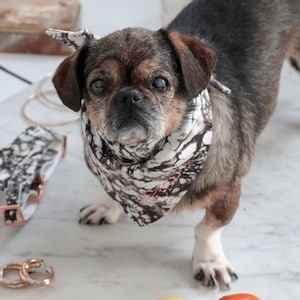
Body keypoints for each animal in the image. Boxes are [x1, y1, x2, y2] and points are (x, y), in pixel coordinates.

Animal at [51, 0, 300, 290]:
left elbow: (208, 228)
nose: (129, 96)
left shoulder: (228, 190)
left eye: (160, 82)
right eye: (99, 85)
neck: (141, 159)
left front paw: (209, 261)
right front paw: (106, 205)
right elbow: (111, 189)